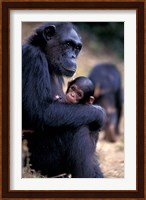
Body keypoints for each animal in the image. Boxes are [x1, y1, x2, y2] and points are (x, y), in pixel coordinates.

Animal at [22, 22, 105, 178]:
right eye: (67, 44)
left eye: (77, 48)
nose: (72, 56)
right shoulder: (33, 58)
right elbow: (41, 111)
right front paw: (99, 112)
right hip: (38, 162)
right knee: (78, 127)